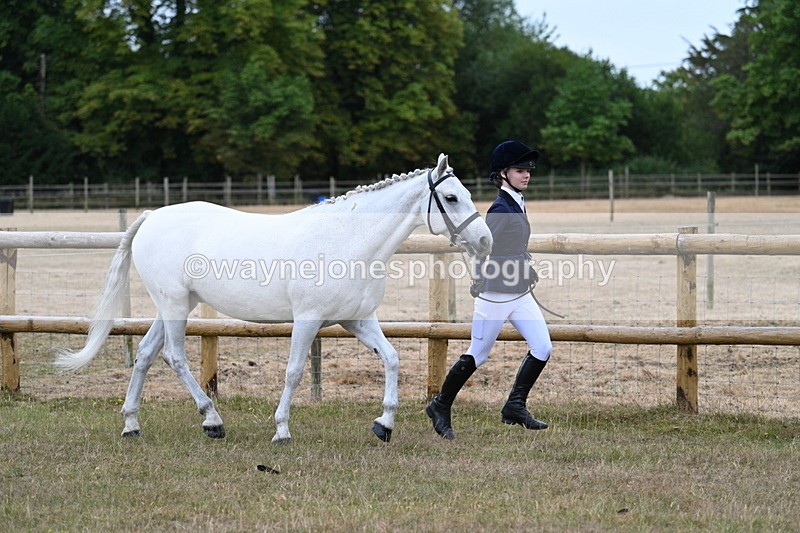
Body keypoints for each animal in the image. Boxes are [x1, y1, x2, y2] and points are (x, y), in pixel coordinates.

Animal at [55, 154, 492, 444]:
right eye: (452, 198)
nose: (485, 239)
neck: (349, 240)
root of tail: (151, 217)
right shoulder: (308, 320)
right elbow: (294, 372)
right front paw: (281, 430)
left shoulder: (358, 320)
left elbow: (392, 359)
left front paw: (384, 425)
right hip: (175, 305)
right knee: (174, 358)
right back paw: (212, 421)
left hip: (174, 307)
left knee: (146, 354)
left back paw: (132, 425)